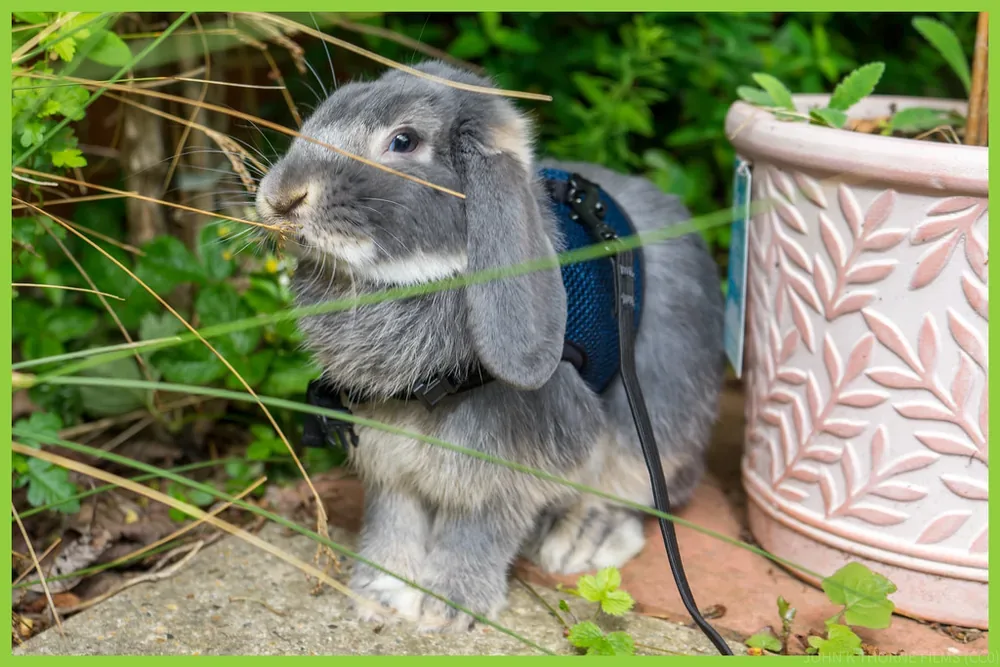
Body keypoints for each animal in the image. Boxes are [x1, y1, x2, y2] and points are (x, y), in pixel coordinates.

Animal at [254, 60, 725, 633]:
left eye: (404, 141)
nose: (281, 196)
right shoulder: (387, 452)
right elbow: (393, 517)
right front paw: (380, 595)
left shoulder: (508, 460)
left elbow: (477, 527)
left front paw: (448, 609)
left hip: (657, 412)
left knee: (642, 488)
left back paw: (582, 539)